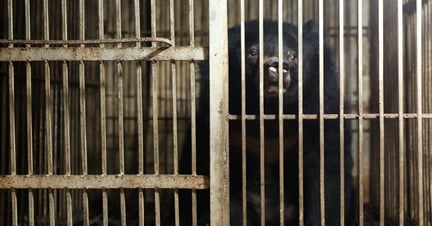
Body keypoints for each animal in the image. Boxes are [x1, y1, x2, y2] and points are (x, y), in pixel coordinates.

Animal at [175, 19, 354, 226]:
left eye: (293, 56)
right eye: (252, 52)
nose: (277, 66)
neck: (269, 110)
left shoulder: (321, 113)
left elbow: (328, 172)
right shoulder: (207, 124)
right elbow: (198, 169)